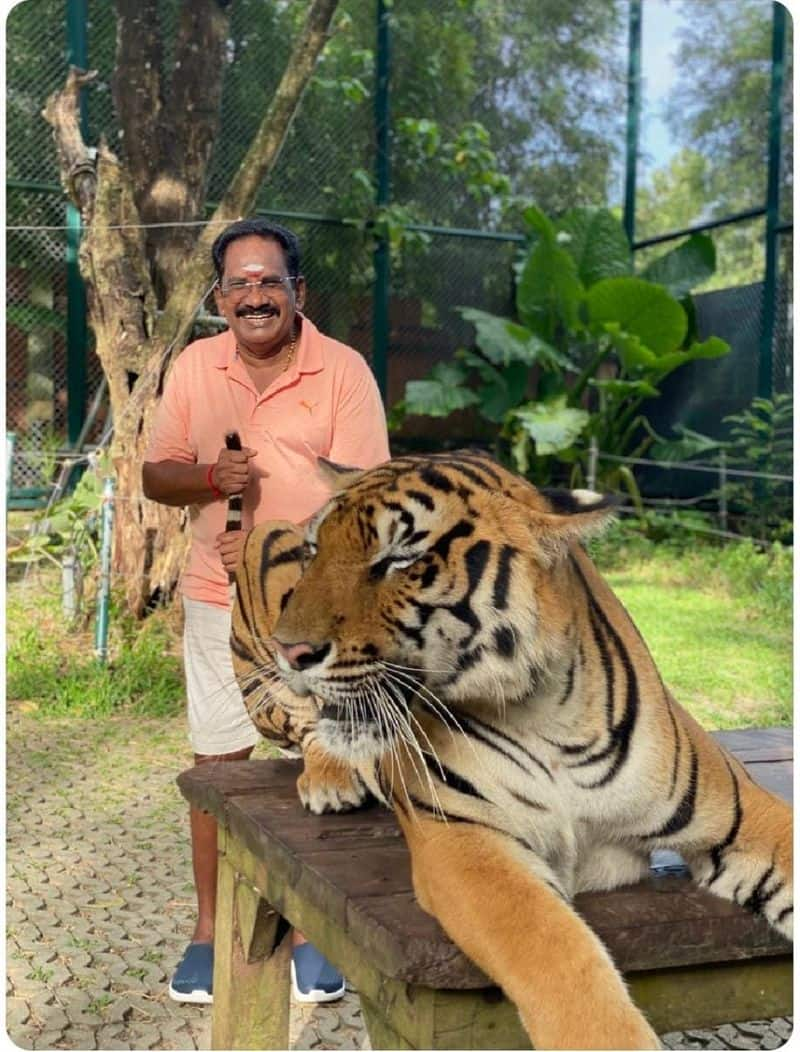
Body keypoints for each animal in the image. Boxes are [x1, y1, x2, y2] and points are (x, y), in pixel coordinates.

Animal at [228, 450, 791, 1052]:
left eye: (401, 559)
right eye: (315, 551)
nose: (290, 649)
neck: (544, 714)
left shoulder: (740, 814)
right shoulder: (466, 841)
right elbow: (556, 953)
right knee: (310, 727)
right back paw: (330, 781)